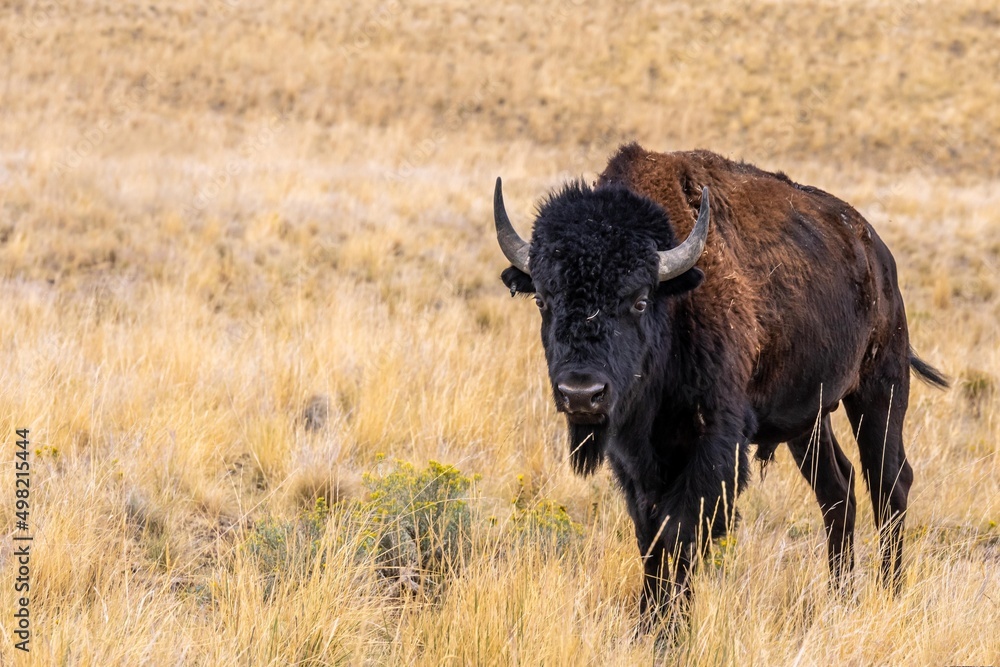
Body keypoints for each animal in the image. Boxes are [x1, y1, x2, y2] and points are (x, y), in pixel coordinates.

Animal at [496, 144, 948, 620]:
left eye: (639, 300)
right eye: (542, 299)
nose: (581, 393)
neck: (674, 298)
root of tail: (874, 250)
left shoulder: (714, 444)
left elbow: (680, 533)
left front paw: (671, 625)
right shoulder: (635, 455)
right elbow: (650, 536)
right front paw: (650, 621)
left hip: (880, 388)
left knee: (889, 482)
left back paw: (889, 593)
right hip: (809, 420)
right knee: (837, 488)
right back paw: (841, 597)